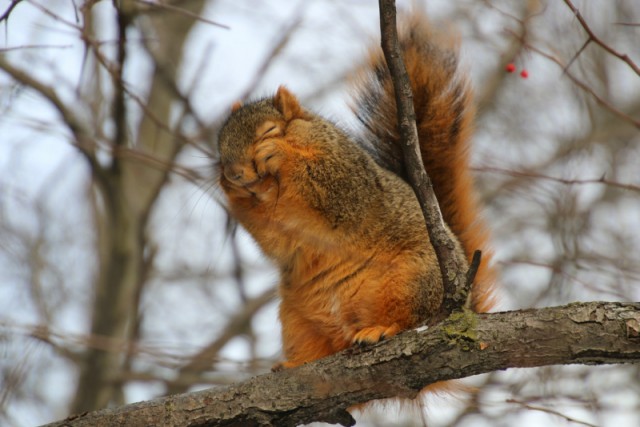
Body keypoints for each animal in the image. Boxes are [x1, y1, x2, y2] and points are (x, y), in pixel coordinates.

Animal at [215, 15, 496, 372]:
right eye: (220, 148)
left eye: (269, 131)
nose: (234, 173)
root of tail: (466, 303)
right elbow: (273, 237)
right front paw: (230, 189)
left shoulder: (349, 176)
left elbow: (330, 186)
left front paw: (279, 154)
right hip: (296, 319)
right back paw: (296, 363)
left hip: (414, 279)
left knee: (412, 320)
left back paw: (381, 329)